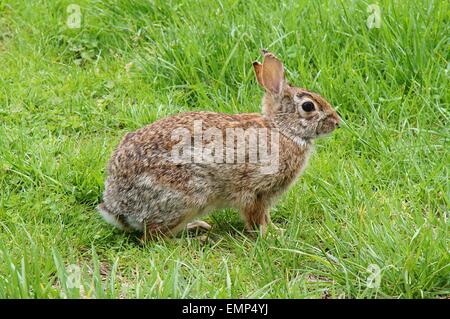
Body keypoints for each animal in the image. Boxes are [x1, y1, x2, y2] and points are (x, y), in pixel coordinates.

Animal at [97, 50, 338, 240]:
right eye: (308, 106)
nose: (337, 122)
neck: (283, 130)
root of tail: (115, 206)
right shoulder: (256, 191)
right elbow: (256, 217)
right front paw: (272, 234)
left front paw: (275, 230)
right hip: (187, 196)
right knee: (152, 238)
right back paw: (195, 238)